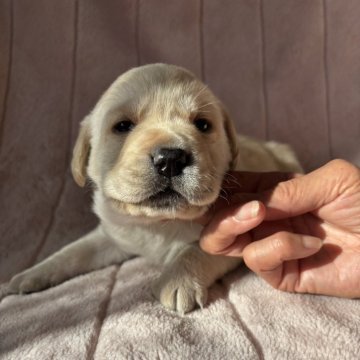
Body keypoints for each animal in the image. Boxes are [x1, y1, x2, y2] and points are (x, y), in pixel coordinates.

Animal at [9, 64, 300, 312]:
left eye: (203, 125)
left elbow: (195, 250)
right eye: (123, 126)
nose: (170, 159)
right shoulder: (112, 233)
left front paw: (177, 282)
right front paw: (32, 274)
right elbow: (74, 251)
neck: (158, 223)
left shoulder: (232, 234)